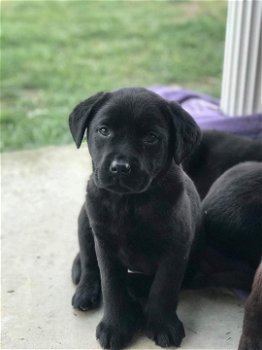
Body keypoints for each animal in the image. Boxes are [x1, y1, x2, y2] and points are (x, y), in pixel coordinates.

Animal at [68, 86, 202, 348]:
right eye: (104, 130)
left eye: (151, 137)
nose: (120, 167)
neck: (130, 203)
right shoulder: (105, 246)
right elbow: (112, 286)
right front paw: (115, 326)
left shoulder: (176, 248)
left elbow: (164, 287)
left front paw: (161, 324)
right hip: (85, 219)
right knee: (88, 260)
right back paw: (85, 288)